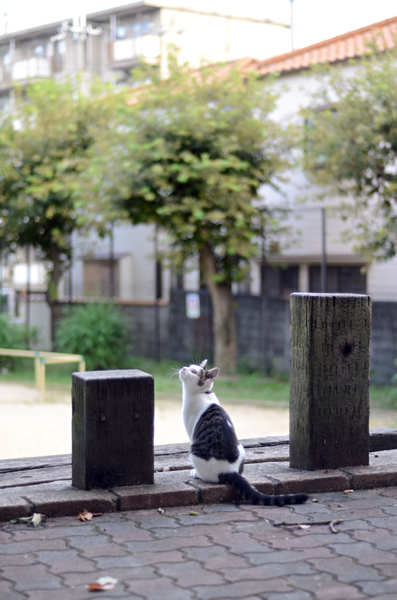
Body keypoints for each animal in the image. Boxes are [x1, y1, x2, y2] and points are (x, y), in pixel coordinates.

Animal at [179, 360, 306, 506]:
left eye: (193, 372)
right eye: (189, 366)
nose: (183, 368)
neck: (202, 394)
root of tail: (229, 471)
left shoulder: (191, 430)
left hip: (194, 450)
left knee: (208, 476)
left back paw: (196, 473)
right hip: (241, 447)